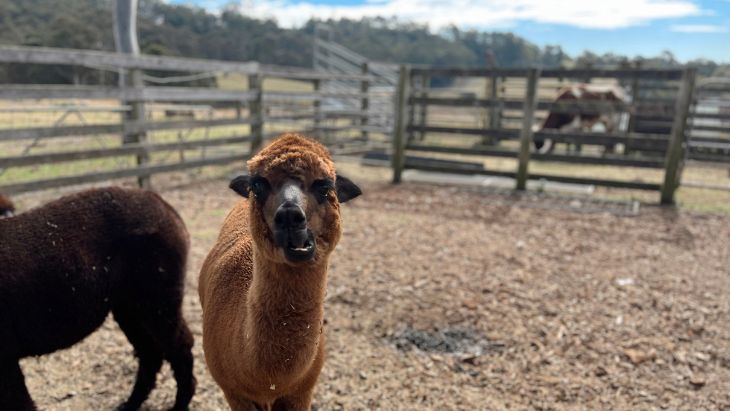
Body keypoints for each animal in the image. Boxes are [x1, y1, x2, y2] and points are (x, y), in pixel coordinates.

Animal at [0, 187, 195, 411]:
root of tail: (162, 204)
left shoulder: (5, 357)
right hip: (129, 305)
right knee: (150, 352)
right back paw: (130, 404)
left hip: (158, 297)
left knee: (178, 346)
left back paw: (179, 405)